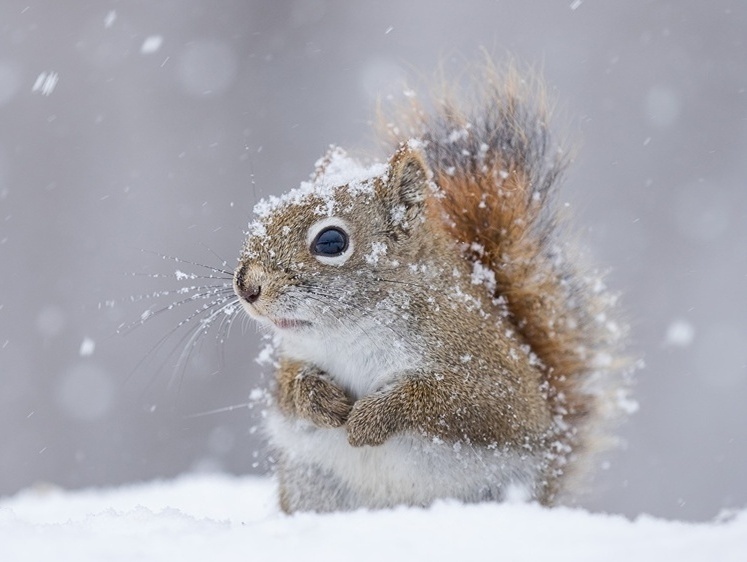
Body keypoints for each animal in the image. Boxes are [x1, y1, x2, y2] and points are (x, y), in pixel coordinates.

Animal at [234, 62, 632, 512]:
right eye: (266, 216)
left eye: (331, 242)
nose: (246, 286)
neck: (352, 332)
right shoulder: (296, 357)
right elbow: (287, 389)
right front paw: (319, 399)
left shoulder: (490, 371)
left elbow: (463, 402)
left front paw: (371, 418)